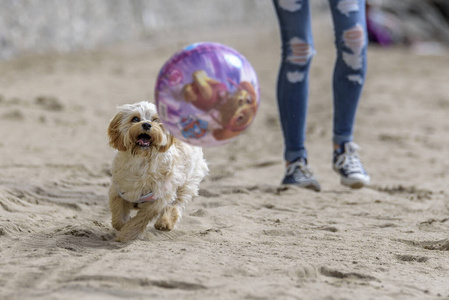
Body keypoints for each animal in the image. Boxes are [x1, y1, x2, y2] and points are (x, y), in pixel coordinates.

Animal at [107, 101, 208, 241]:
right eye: (135, 119)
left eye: (156, 120)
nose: (146, 124)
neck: (141, 161)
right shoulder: (118, 191)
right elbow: (118, 217)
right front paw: (122, 225)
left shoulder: (157, 200)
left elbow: (139, 219)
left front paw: (127, 234)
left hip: (188, 182)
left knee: (177, 203)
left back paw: (165, 222)